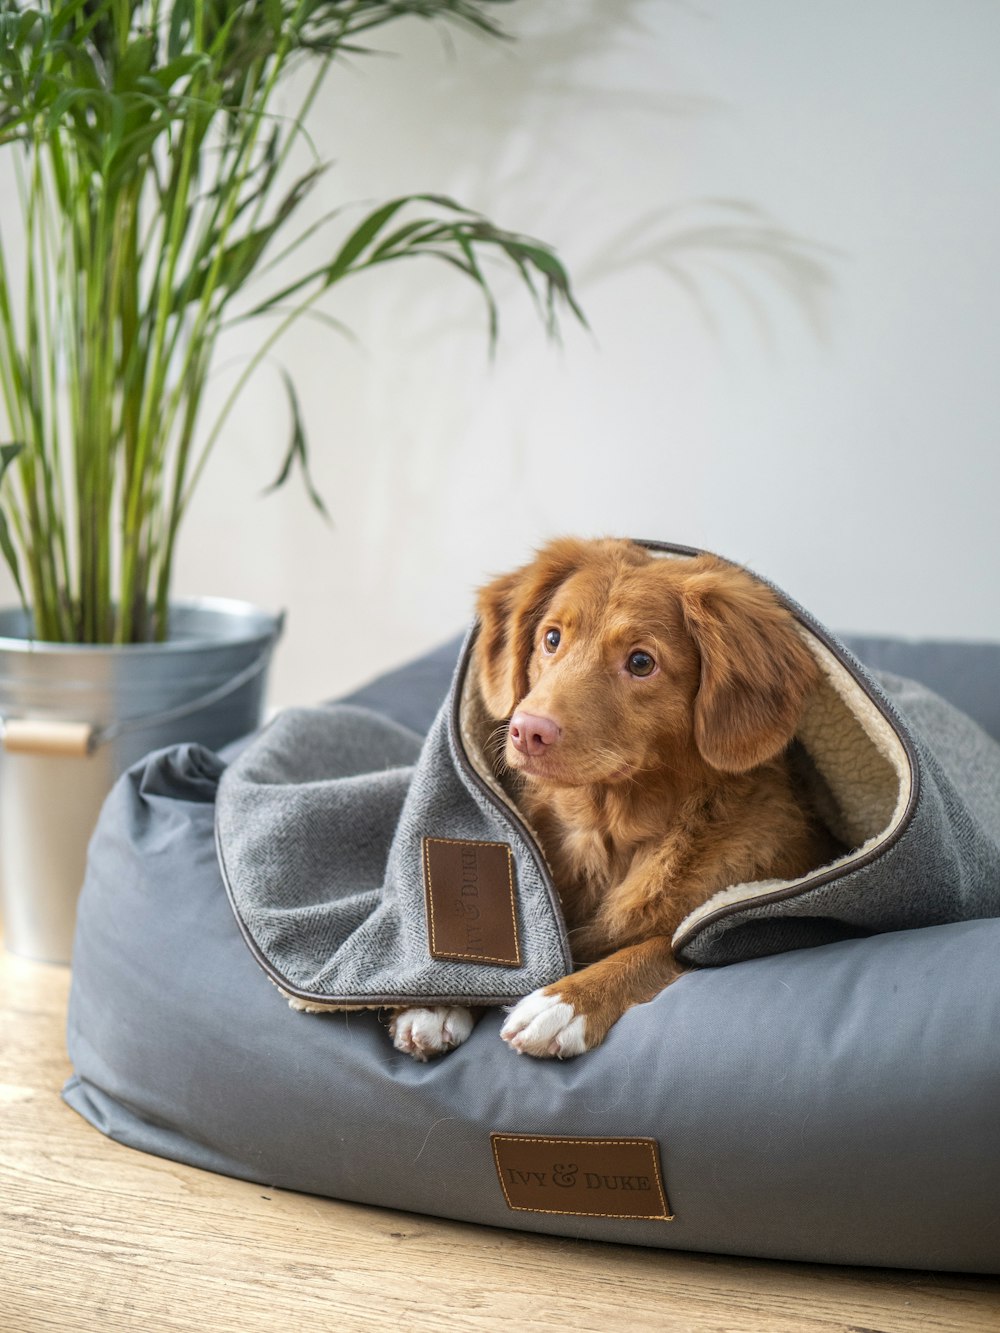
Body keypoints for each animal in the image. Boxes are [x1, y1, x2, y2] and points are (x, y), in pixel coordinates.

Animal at [392, 535, 837, 1055]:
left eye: (641, 662)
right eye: (552, 638)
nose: (527, 731)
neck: (606, 829)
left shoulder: (757, 920)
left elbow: (659, 947)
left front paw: (567, 1001)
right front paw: (436, 999)